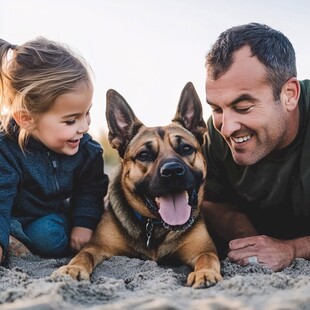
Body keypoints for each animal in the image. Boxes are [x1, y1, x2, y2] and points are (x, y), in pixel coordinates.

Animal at [54, 81, 223, 288]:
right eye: (144, 155)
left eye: (186, 148)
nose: (173, 171)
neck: (155, 227)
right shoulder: (96, 246)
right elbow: (83, 255)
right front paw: (73, 268)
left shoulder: (203, 250)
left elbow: (207, 258)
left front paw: (205, 273)